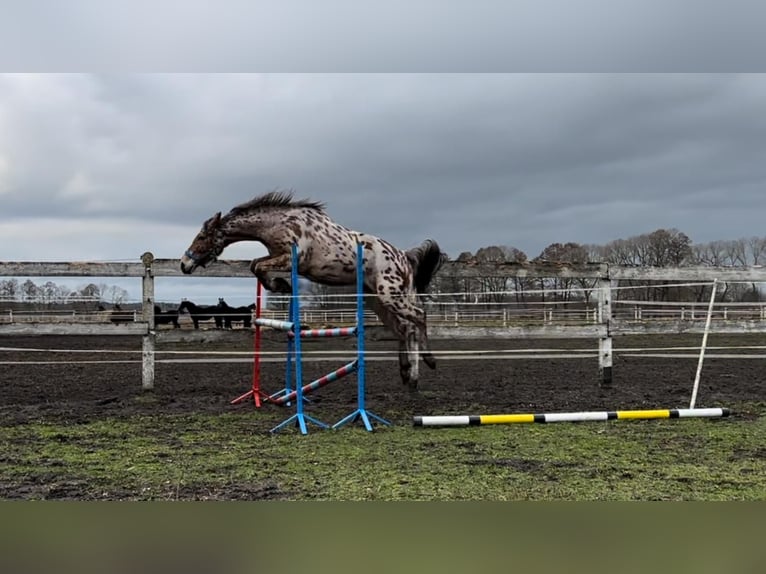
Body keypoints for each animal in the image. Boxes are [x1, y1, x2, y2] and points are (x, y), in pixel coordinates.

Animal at [181, 191, 448, 390]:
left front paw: (280, 285)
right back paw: (405, 373)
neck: (277, 223)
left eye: (202, 236)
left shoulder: (289, 259)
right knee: (403, 327)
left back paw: (425, 365)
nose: (184, 264)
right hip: (377, 300)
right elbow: (255, 264)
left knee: (417, 318)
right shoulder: (277, 257)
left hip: (390, 294)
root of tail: (403, 257)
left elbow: (257, 265)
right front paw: (280, 285)